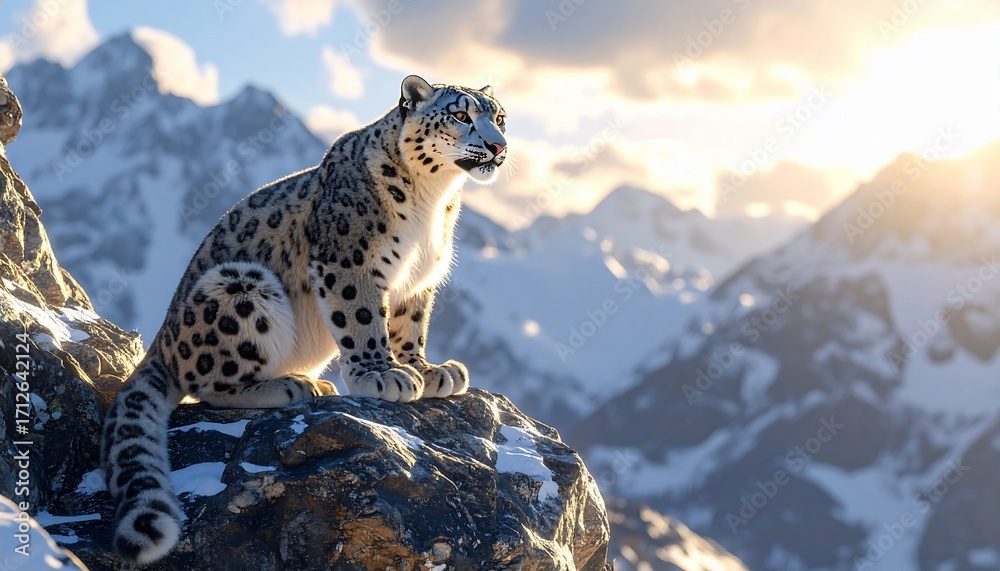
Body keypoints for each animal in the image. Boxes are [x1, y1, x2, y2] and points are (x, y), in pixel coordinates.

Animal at [100, 75, 507, 564]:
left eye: (500, 117)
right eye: (462, 115)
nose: (499, 146)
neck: (435, 200)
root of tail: (160, 338)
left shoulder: (418, 281)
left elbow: (410, 326)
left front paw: (427, 371)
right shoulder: (349, 262)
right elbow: (363, 317)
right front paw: (381, 375)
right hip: (238, 287)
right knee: (209, 385)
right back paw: (289, 386)